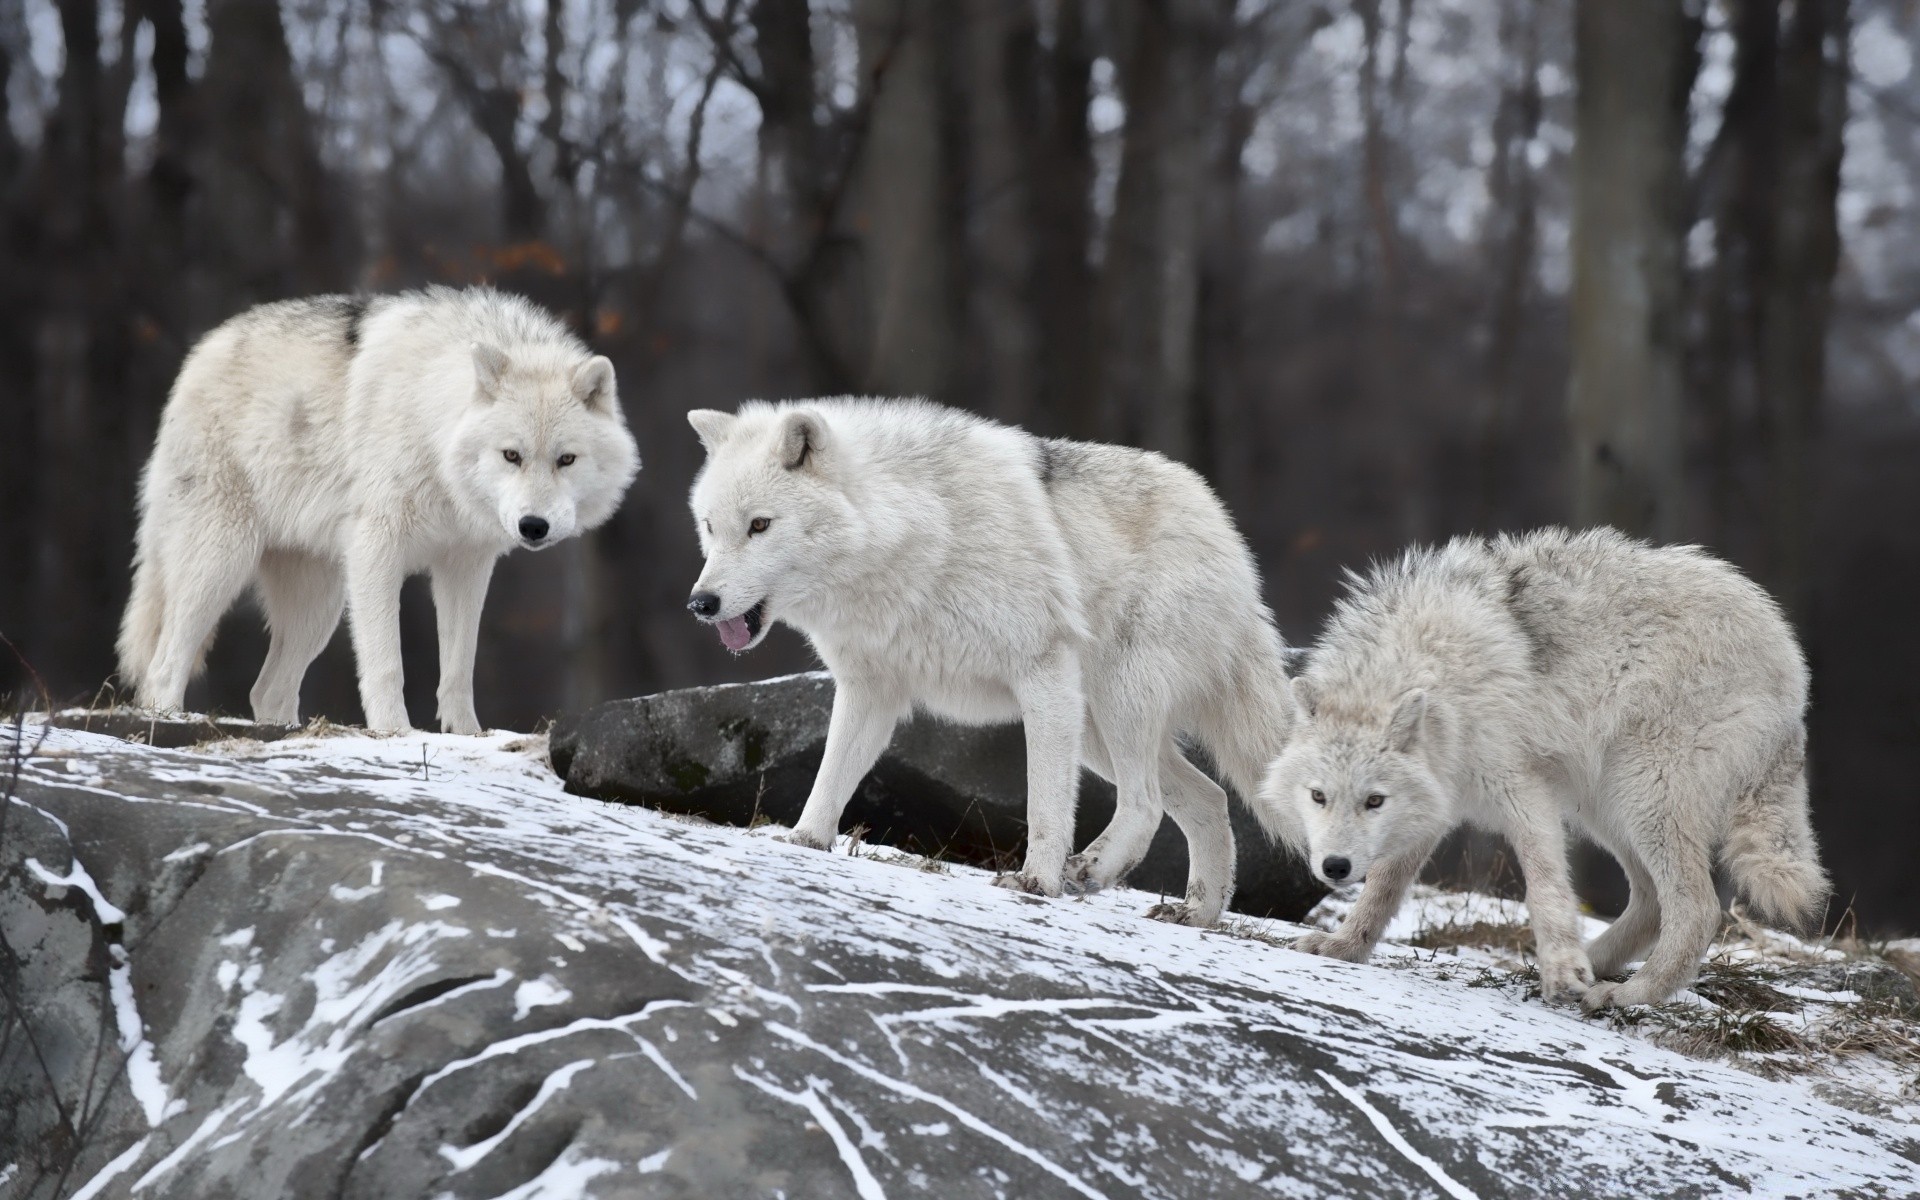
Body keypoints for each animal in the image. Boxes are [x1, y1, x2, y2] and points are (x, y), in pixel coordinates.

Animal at [116, 286, 641, 733]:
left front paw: (466, 735)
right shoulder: (377, 550)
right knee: (163, 666)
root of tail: (200, 352)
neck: (432, 425)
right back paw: (169, 720)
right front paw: (395, 732)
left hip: (318, 607)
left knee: (267, 690)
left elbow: (459, 668)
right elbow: (387, 663)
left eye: (566, 459)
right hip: (222, 564)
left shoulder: (466, 565)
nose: (533, 526)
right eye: (511, 455)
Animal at [683, 397, 1297, 921]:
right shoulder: (870, 689)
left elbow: (1046, 801)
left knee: (1145, 802)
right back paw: (1197, 913)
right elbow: (830, 777)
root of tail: (1225, 529)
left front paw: (1036, 882)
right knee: (1209, 798)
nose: (700, 603)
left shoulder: (1042, 672)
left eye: (760, 525)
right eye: (711, 527)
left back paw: (1092, 871)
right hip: (1095, 726)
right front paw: (804, 843)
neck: (915, 536)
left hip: (1115, 702)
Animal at [1251, 529, 1820, 1006]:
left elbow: (1543, 886)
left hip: (1641, 797)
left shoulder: (1522, 791)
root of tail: (1790, 658)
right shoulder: (1435, 806)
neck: (1438, 672)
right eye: (1318, 797)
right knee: (1652, 904)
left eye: (1373, 800)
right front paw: (1345, 946)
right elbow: (1383, 890)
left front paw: (1564, 969)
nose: (1335, 867)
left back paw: (1629, 994)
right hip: (1606, 807)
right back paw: (1593, 966)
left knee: (1697, 910)